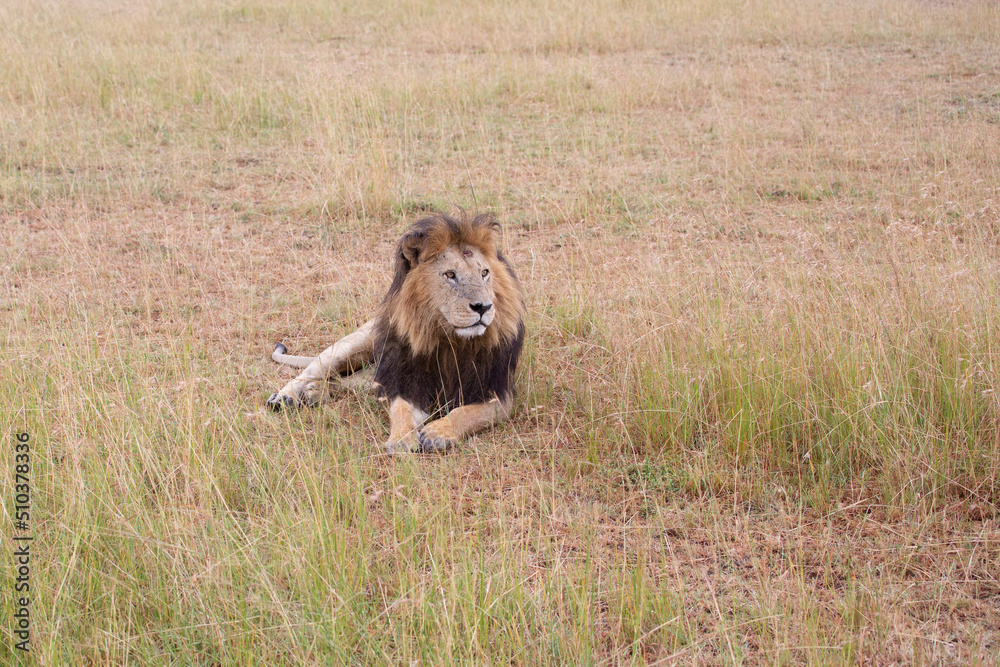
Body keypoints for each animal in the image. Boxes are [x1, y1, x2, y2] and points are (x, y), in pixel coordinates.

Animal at [266, 212, 526, 454]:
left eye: (484, 273)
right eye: (450, 275)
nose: (483, 307)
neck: (450, 340)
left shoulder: (497, 393)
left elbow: (466, 413)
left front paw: (439, 432)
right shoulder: (405, 380)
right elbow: (401, 409)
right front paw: (402, 439)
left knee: (353, 383)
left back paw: (315, 393)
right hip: (357, 343)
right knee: (314, 371)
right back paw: (287, 397)